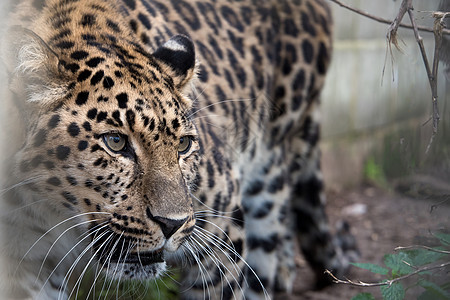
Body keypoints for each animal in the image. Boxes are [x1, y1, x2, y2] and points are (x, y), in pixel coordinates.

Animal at [0, 0, 358, 298]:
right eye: (115, 142)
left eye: (183, 145)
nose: (172, 224)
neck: (54, 210)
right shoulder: (23, 264)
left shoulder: (223, 231)